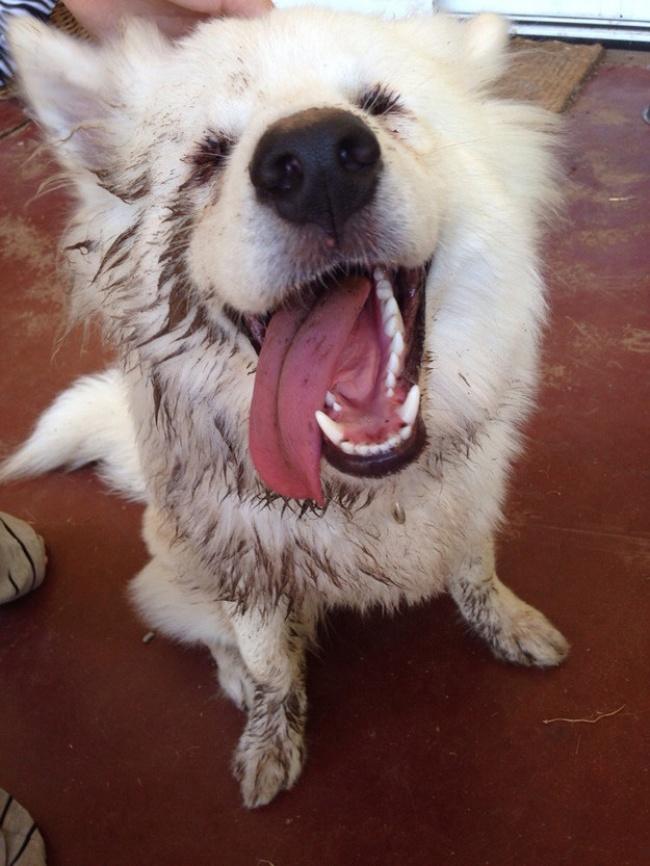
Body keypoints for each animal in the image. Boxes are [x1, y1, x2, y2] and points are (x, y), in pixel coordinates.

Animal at [2, 5, 564, 804]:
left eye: (380, 106)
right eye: (209, 155)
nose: (317, 160)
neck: (363, 491)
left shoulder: (471, 506)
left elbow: (477, 576)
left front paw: (510, 626)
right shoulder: (249, 575)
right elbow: (270, 663)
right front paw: (270, 740)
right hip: (180, 576)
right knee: (216, 640)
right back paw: (237, 678)